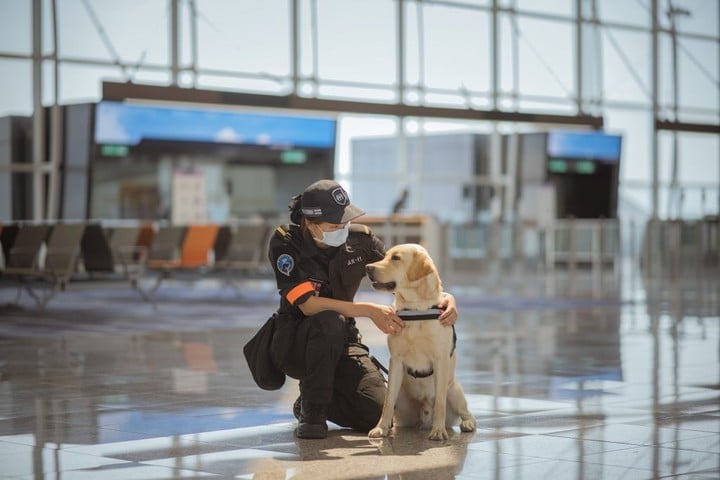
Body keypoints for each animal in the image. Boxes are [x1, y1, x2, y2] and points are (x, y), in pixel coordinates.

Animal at [366, 246, 478, 440]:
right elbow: (387, 402)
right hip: (402, 401)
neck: (415, 309)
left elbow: (439, 402)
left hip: (454, 390)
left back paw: (466, 423)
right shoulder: (396, 360)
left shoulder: (440, 360)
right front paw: (380, 428)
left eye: (396, 258)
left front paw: (438, 431)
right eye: (384, 256)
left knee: (466, 412)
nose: (368, 268)